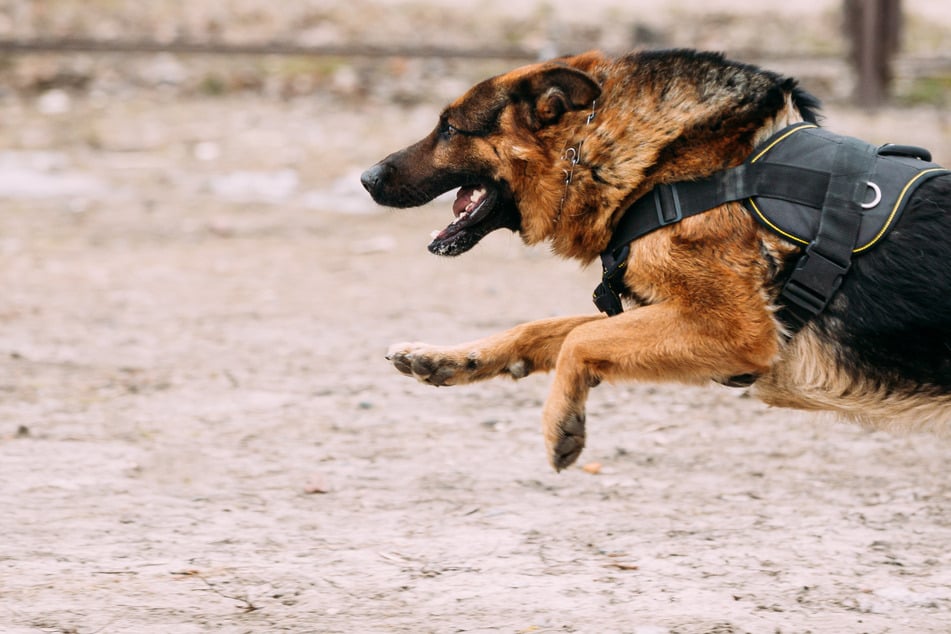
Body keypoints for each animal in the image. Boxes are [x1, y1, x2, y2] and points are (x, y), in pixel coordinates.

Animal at [358, 48, 951, 470]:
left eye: (449, 129)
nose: (365, 178)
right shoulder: (672, 318)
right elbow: (548, 328)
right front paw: (452, 358)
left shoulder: (734, 331)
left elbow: (579, 339)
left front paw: (561, 421)